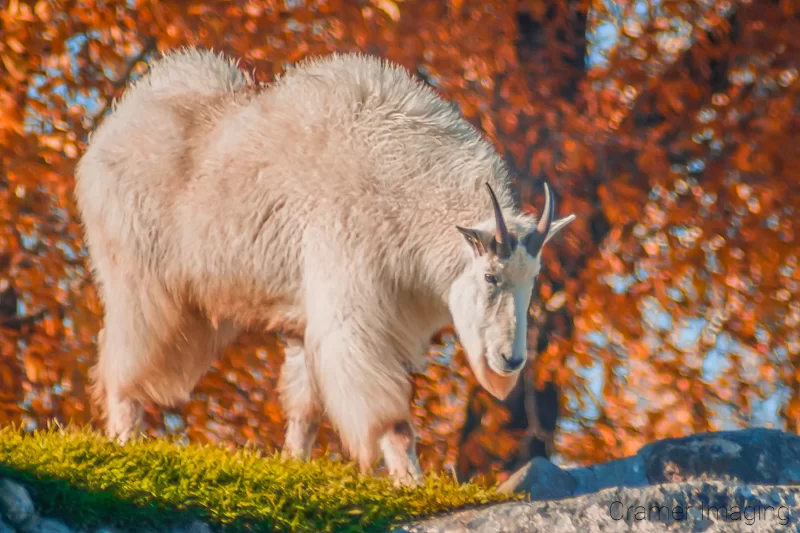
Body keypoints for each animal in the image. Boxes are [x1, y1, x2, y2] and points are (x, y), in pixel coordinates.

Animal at [75, 47, 576, 484]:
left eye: (532, 282)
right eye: (491, 275)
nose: (510, 360)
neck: (403, 193)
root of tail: (105, 138)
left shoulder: (313, 320)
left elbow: (305, 409)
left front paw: (293, 467)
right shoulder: (353, 313)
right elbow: (389, 417)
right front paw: (409, 481)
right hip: (140, 283)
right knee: (122, 365)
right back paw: (123, 440)